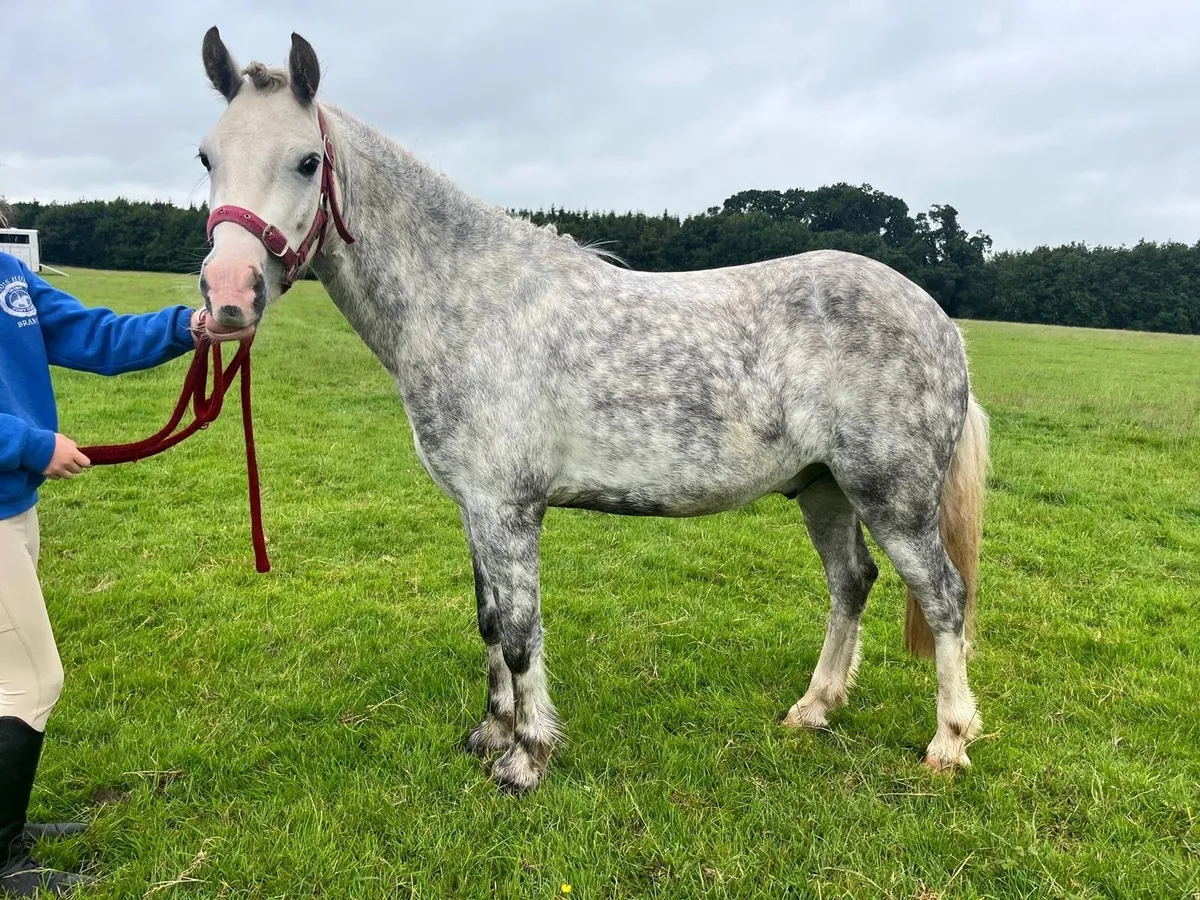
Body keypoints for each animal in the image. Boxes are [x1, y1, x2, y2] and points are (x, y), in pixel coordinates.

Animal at [195, 27, 990, 794]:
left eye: (306, 162)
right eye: (207, 156)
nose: (229, 296)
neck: (468, 301)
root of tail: (941, 322)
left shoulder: (509, 509)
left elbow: (520, 633)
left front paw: (526, 758)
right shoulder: (476, 507)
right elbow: (489, 621)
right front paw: (491, 735)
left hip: (892, 497)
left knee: (945, 597)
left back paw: (948, 744)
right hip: (825, 488)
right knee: (850, 583)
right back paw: (813, 709)